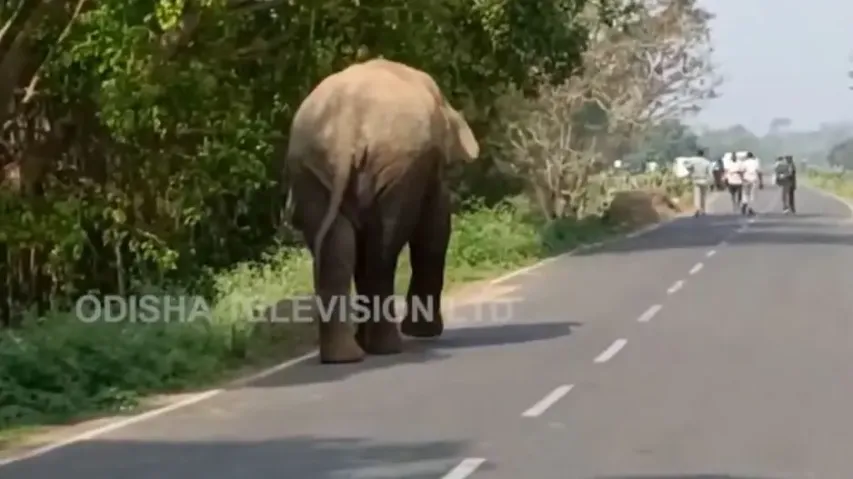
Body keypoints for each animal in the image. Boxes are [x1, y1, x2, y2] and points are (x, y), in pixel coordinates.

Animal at [284, 58, 480, 364]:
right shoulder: (424, 166)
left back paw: (345, 356)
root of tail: (345, 127)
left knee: (340, 249)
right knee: (382, 250)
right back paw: (385, 349)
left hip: (311, 168)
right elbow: (434, 232)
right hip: (395, 167)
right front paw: (425, 334)